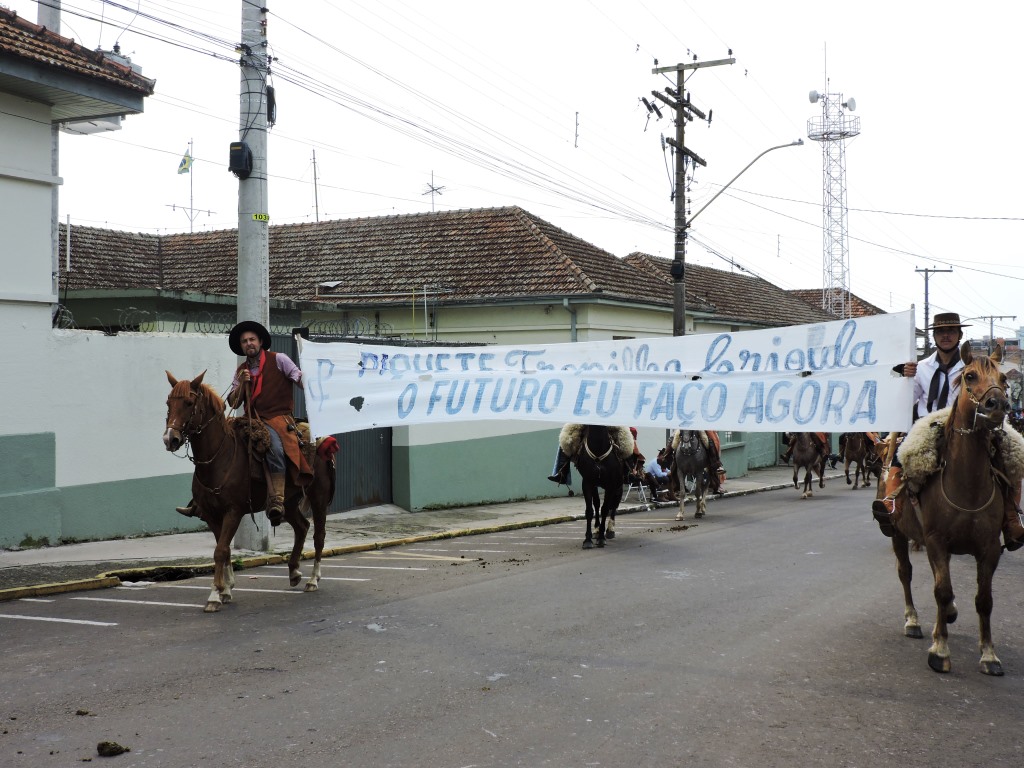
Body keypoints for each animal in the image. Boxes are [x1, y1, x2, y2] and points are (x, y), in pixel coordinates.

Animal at [161, 370, 333, 614]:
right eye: (169, 402)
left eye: (189, 403)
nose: (170, 438)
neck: (219, 458)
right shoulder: (212, 515)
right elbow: (224, 550)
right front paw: (226, 589)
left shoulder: (233, 512)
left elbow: (220, 551)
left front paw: (214, 595)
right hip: (289, 502)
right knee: (302, 527)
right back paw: (294, 572)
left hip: (319, 497)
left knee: (318, 535)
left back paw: (313, 579)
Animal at [884, 346, 1011, 675]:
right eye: (970, 376)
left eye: (1004, 378)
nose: (997, 405)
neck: (966, 484)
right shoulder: (936, 541)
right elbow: (942, 591)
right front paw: (940, 650)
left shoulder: (989, 548)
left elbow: (984, 599)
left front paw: (989, 654)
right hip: (898, 534)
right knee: (906, 573)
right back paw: (913, 620)